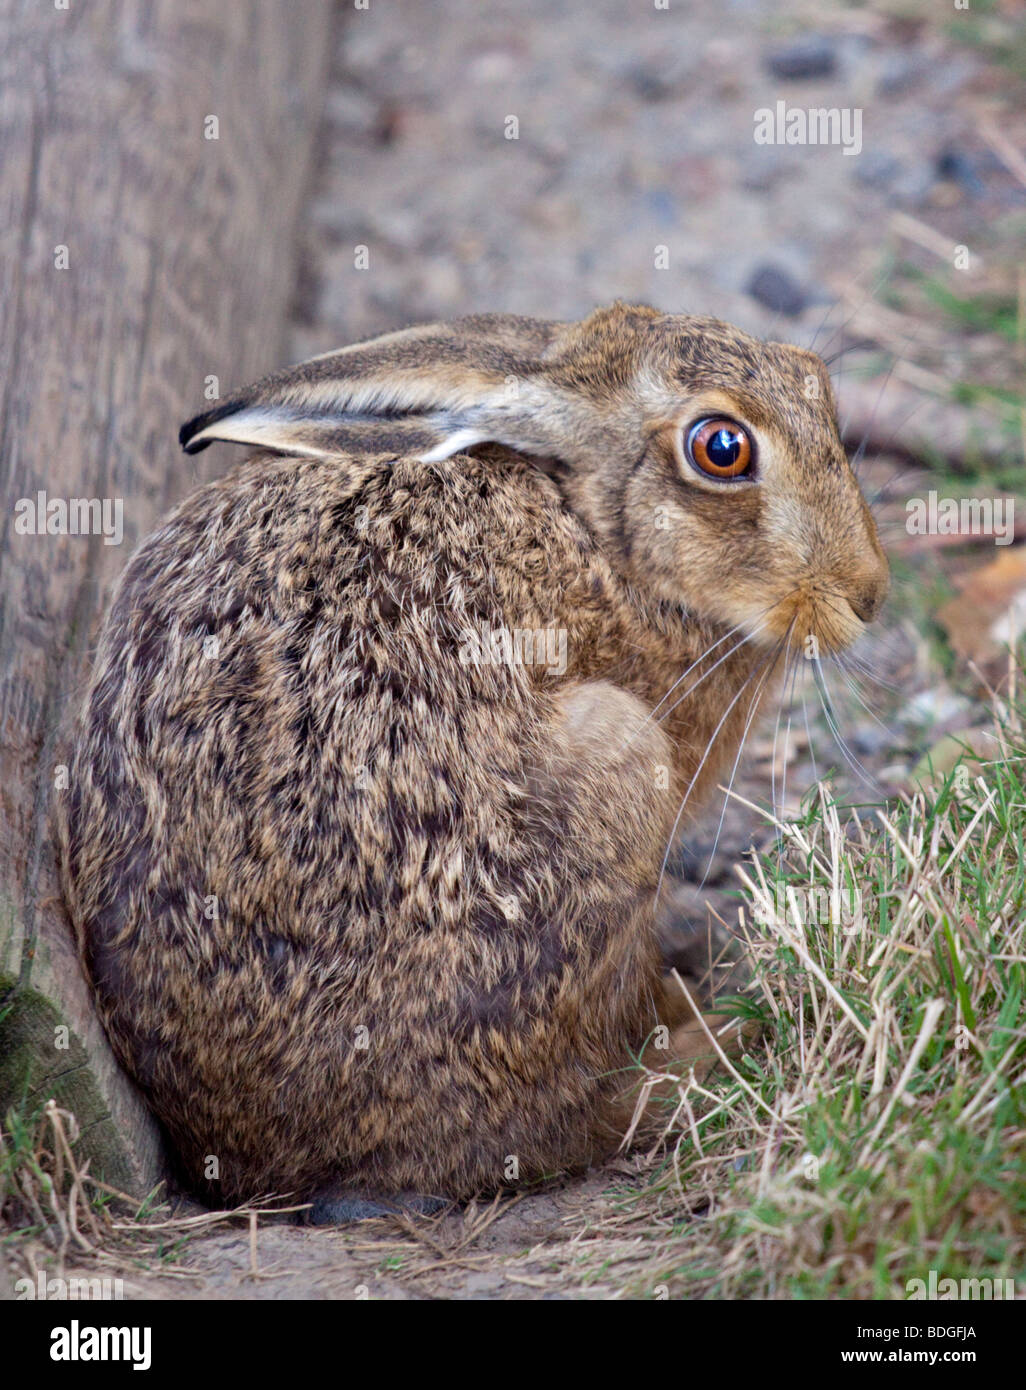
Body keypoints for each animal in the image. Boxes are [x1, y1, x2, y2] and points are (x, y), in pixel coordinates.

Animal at [56, 301, 888, 1219]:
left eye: (814, 376)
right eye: (723, 449)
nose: (867, 594)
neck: (594, 534)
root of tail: (256, 1164)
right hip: (616, 762)